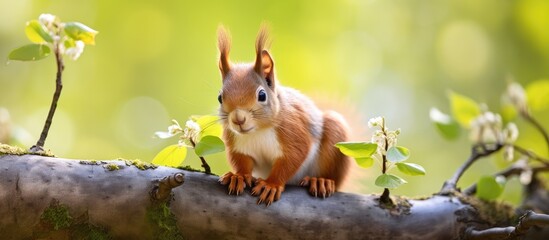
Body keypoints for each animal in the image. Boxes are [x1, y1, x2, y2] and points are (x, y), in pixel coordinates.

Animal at [216, 26, 348, 205]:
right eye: (220, 97)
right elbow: (242, 160)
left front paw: (271, 185)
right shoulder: (236, 142)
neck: (258, 131)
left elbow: (292, 158)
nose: (238, 119)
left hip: (334, 136)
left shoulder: (293, 129)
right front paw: (239, 176)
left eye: (262, 95)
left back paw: (321, 181)